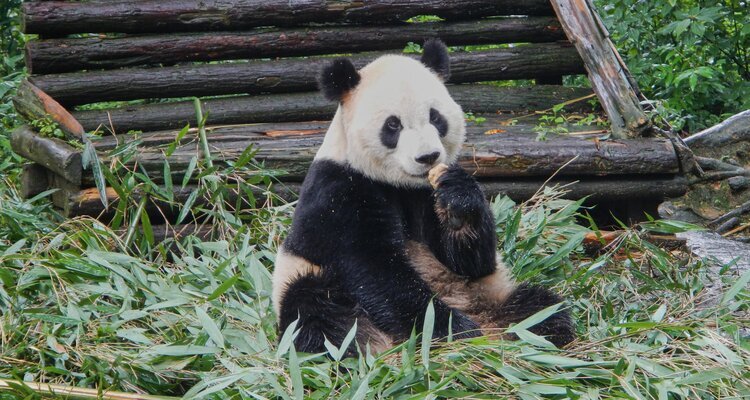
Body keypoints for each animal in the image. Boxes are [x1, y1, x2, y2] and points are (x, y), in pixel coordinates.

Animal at [272, 39, 574, 355]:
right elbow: (374, 269)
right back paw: (362, 343)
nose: (428, 156)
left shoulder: (425, 194)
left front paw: (458, 203)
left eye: (435, 117)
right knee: (316, 313)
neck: (398, 183)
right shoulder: (338, 191)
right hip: (304, 278)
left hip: (492, 293)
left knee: (542, 308)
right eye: (393, 125)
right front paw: (449, 328)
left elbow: (470, 262)